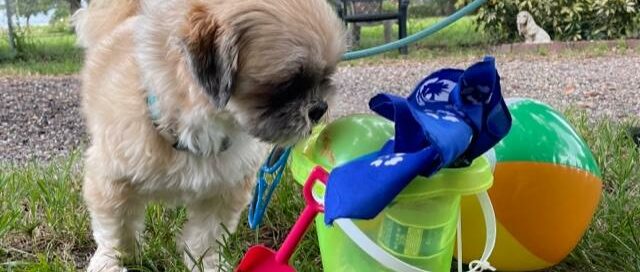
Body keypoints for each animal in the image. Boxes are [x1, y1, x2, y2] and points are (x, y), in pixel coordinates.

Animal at [72, 1, 344, 270]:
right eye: (288, 85)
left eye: (327, 77)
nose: (319, 108)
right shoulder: (111, 182)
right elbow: (117, 231)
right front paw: (113, 260)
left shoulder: (224, 191)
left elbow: (206, 236)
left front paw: (207, 263)